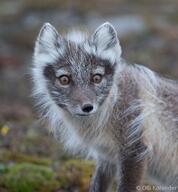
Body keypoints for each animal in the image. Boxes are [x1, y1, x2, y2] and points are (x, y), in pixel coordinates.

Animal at [32, 22, 178, 192]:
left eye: (96, 78)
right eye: (64, 79)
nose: (87, 107)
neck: (113, 103)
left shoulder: (133, 149)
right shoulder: (106, 157)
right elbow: (97, 185)